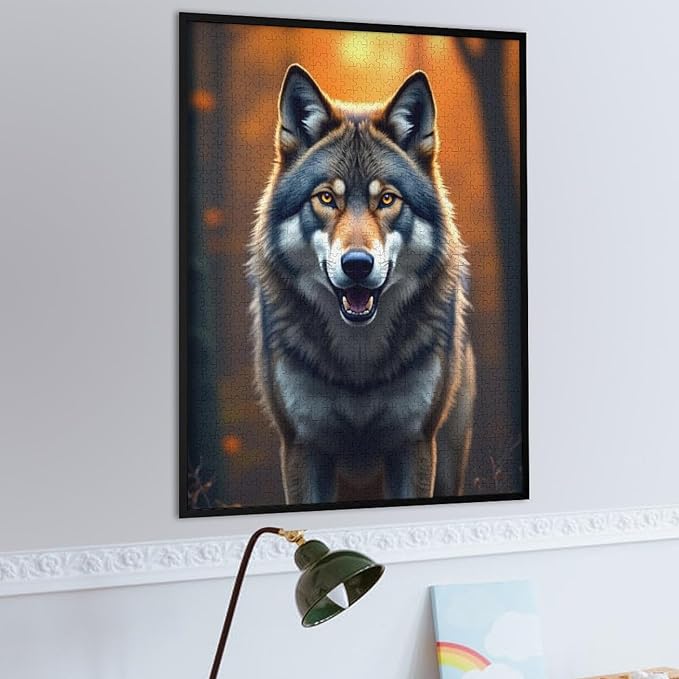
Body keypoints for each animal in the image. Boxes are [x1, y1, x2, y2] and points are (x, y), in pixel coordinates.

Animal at [247, 64, 476, 504]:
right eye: (326, 198)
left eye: (386, 199)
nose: (356, 265)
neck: (359, 363)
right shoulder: (302, 445)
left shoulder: (415, 443)